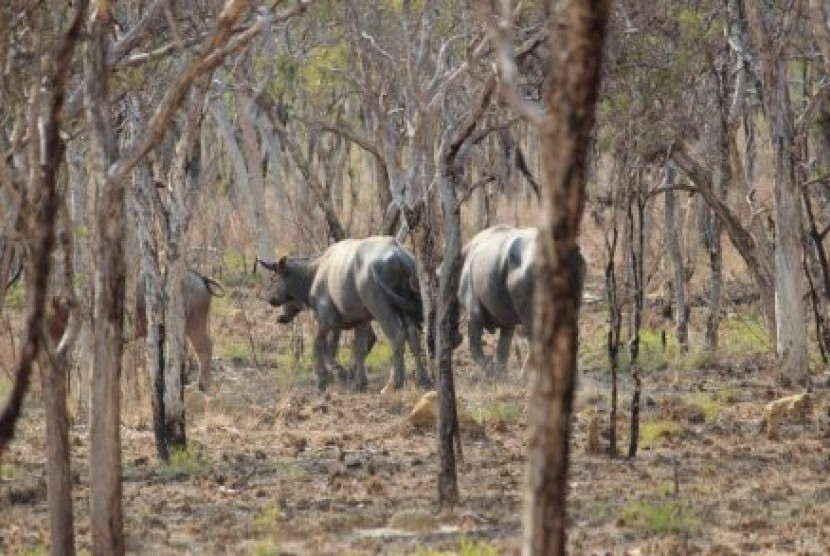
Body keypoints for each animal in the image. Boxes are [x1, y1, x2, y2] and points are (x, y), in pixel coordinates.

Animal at [258, 235, 428, 390]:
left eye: (274, 278)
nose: (271, 299)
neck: (314, 274)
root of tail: (399, 255)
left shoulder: (327, 320)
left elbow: (321, 345)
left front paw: (327, 376)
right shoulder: (361, 320)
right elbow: (358, 348)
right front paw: (359, 382)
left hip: (380, 307)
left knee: (397, 336)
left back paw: (393, 383)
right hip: (404, 307)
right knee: (413, 336)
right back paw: (422, 378)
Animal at [458, 224, 588, 376]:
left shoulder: (474, 312)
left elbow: (475, 348)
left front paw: (491, 371)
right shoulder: (507, 322)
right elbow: (503, 349)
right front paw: (501, 373)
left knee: (537, 340)